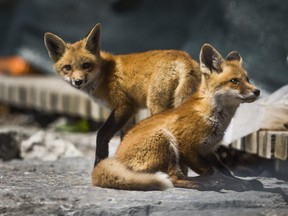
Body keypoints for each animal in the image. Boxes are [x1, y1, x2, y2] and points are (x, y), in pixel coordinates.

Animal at [44, 23, 201, 165]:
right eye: (67, 68)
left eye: (86, 65)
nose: (78, 81)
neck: (104, 74)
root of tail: (184, 57)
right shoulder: (131, 113)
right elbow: (125, 137)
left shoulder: (125, 106)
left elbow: (101, 134)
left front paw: (100, 162)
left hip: (155, 106)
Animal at [93, 44, 264, 191]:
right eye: (234, 81)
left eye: (248, 79)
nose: (257, 91)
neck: (212, 117)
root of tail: (117, 158)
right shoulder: (186, 146)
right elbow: (211, 170)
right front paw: (230, 182)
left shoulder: (208, 149)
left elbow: (224, 169)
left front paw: (236, 180)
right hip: (164, 139)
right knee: (174, 178)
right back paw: (201, 184)